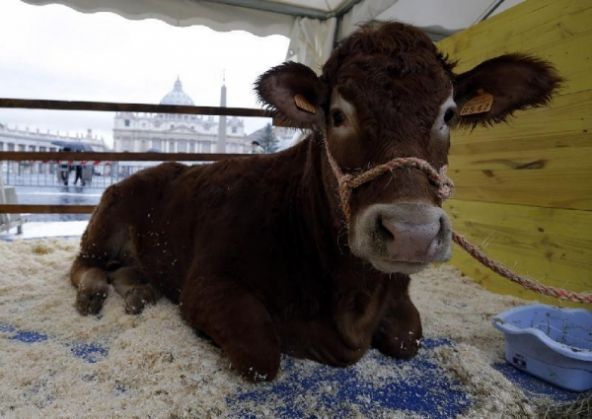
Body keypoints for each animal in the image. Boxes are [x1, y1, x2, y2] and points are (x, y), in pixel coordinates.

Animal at [70, 23, 560, 384]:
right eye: (337, 114)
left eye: (450, 113)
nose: (411, 234)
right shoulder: (207, 285)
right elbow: (262, 354)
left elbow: (409, 337)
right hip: (104, 222)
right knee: (83, 266)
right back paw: (95, 294)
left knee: (127, 269)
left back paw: (138, 293)